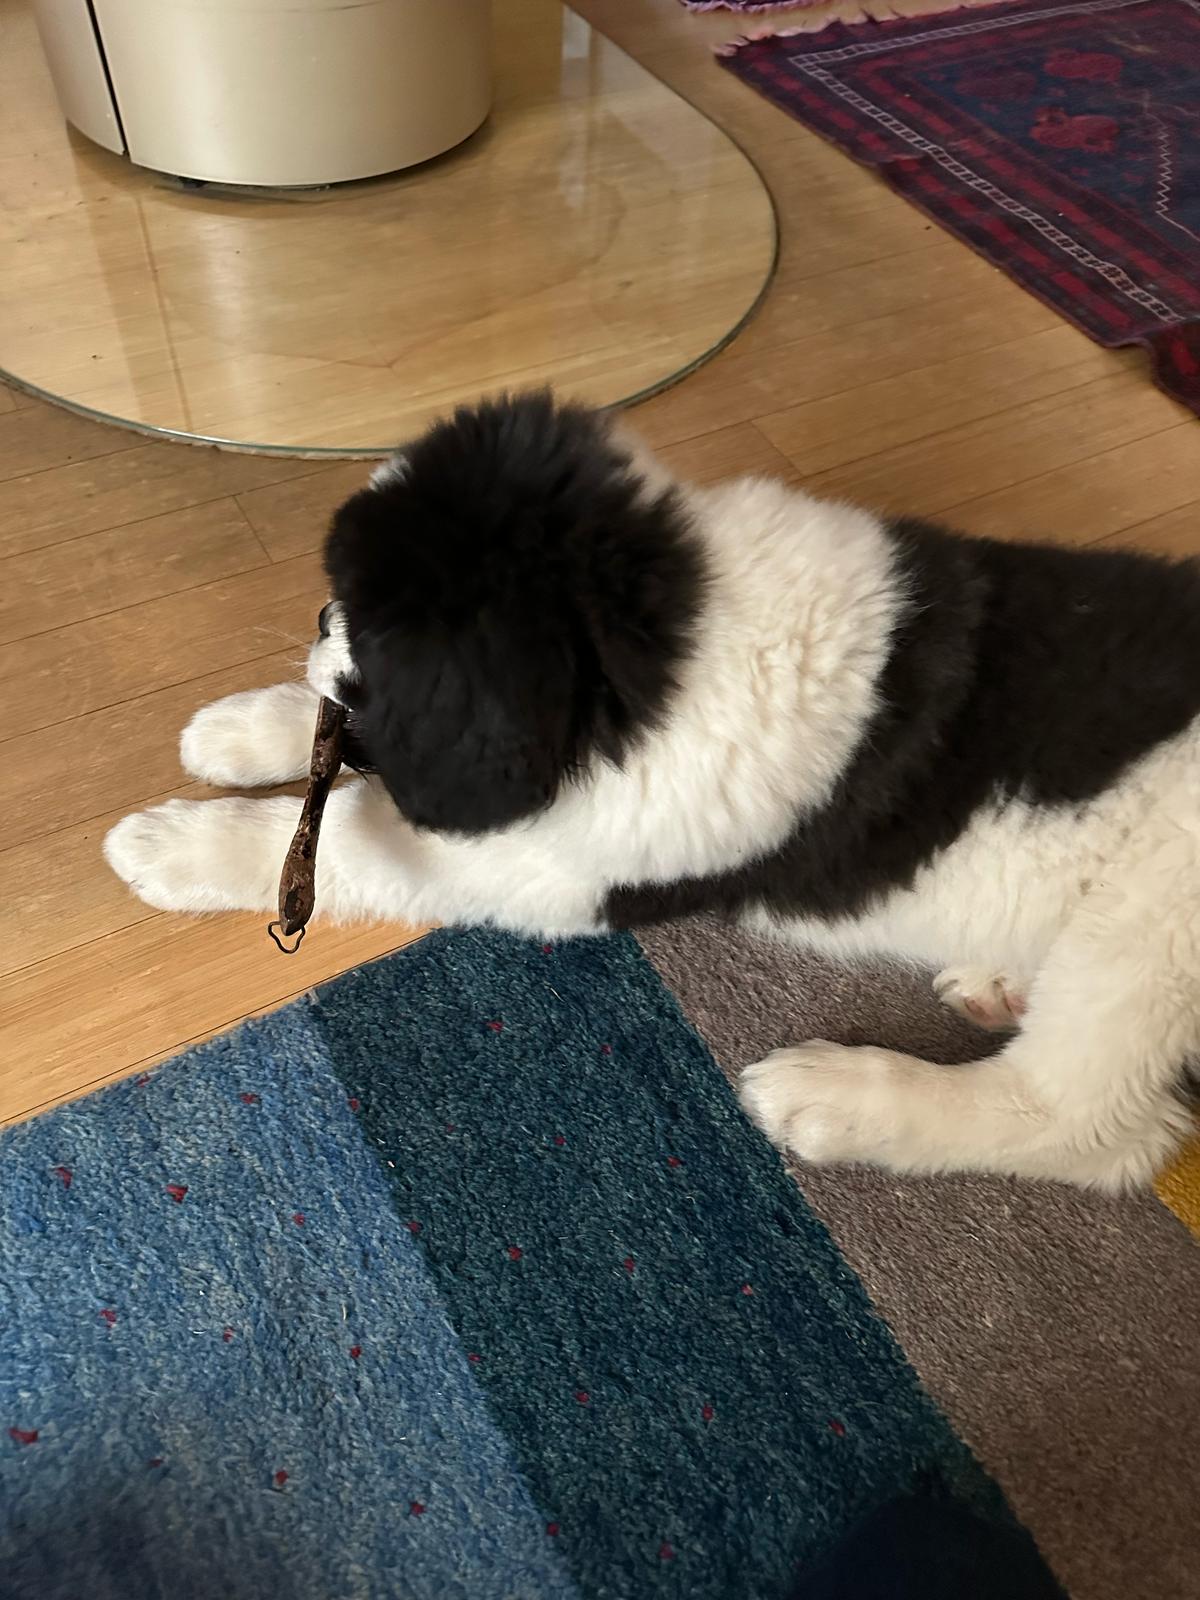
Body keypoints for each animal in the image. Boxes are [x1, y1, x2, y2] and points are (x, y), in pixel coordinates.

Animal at [105, 392, 1200, 1190]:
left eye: (367, 628)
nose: (317, 619)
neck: (673, 627)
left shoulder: (555, 864)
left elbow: (351, 831)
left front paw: (173, 848)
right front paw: (238, 729)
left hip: (1150, 932)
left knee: (1095, 1126)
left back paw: (834, 1096)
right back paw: (992, 979)